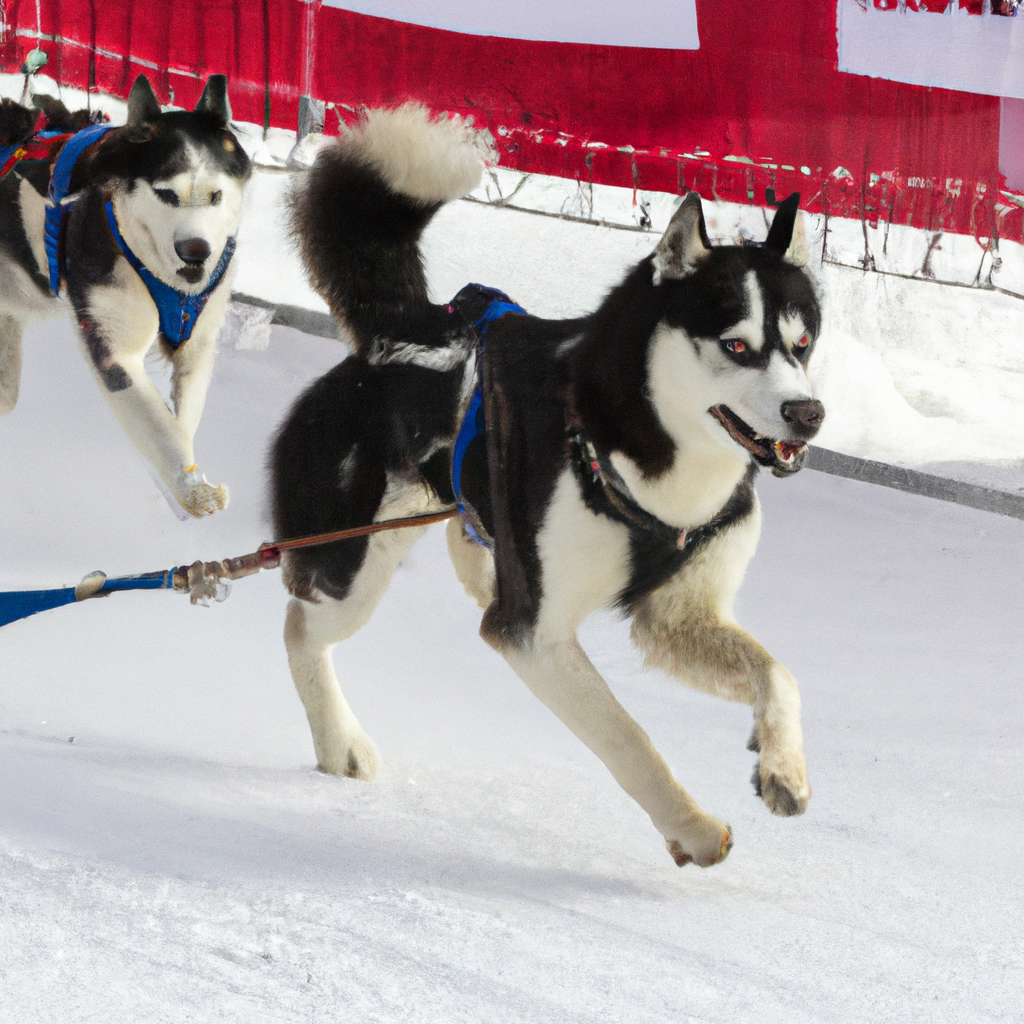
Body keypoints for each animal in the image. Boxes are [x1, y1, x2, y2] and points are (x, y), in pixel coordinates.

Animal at [0, 74, 250, 516]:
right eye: (167, 194)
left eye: (216, 196)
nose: (196, 251)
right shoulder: (116, 351)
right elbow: (159, 427)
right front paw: (189, 488)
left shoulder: (198, 345)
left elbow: (180, 421)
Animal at [276, 108, 827, 868]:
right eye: (737, 346)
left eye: (802, 345)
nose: (808, 414)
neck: (645, 464)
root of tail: (410, 330)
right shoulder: (531, 633)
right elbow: (628, 738)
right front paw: (691, 827)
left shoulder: (676, 617)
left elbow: (779, 675)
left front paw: (784, 768)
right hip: (353, 567)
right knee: (302, 627)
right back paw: (338, 742)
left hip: (466, 546)